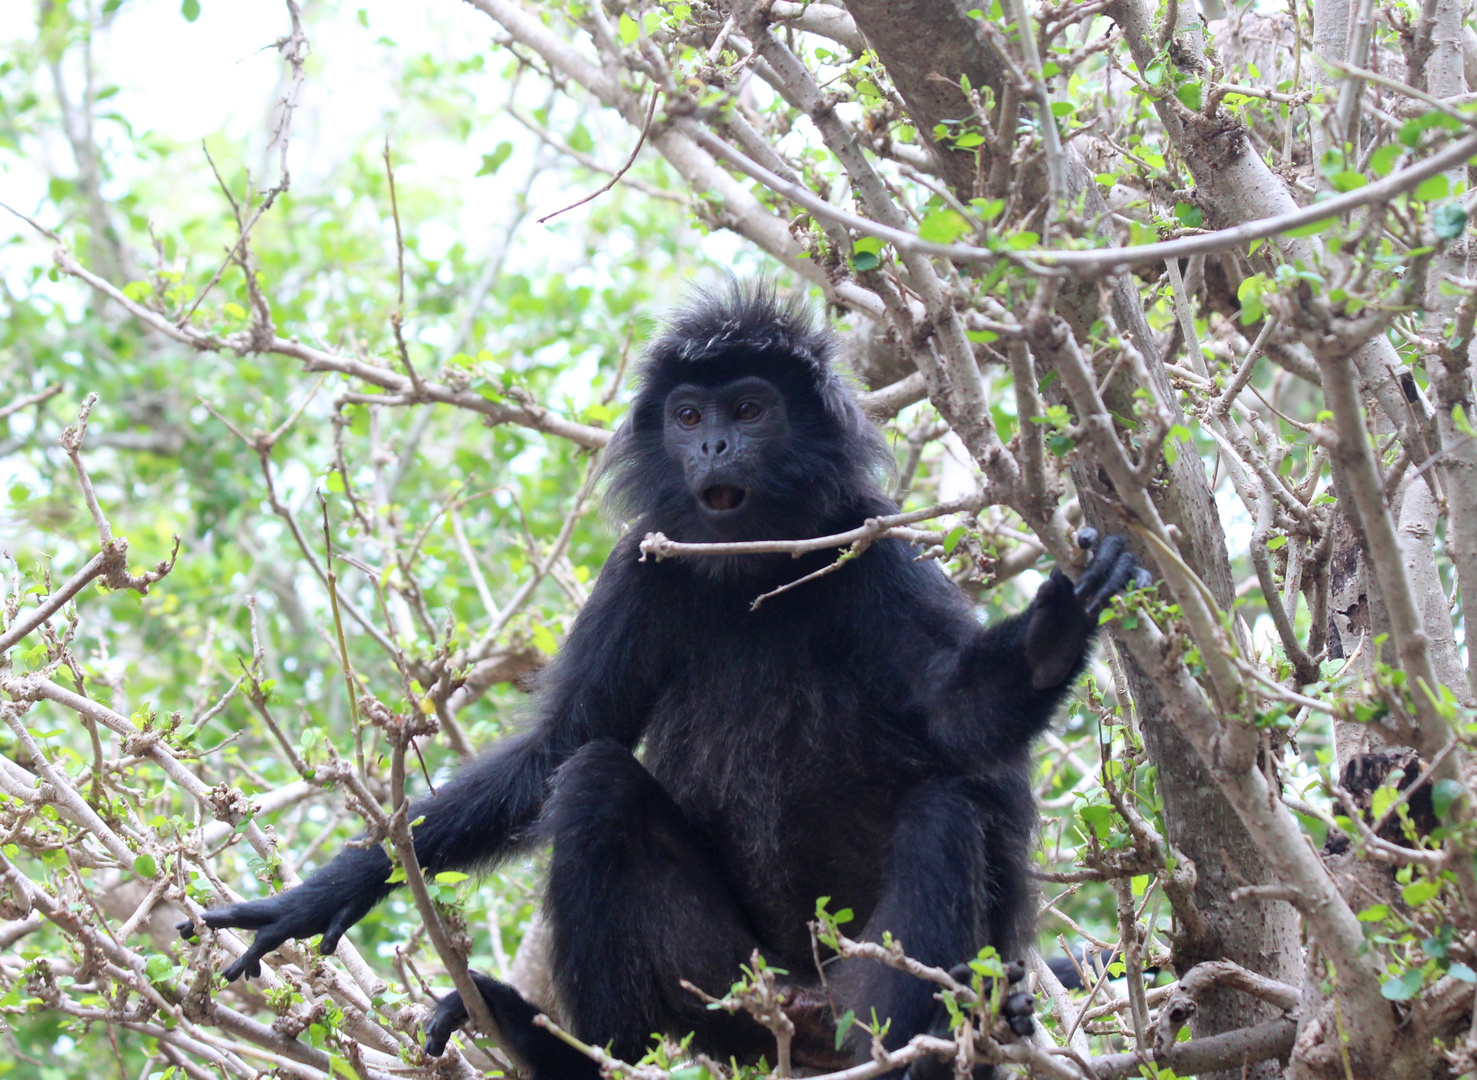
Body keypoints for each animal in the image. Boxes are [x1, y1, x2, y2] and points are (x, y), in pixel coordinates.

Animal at [178, 286, 1146, 1080]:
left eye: (749, 409)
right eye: (687, 415)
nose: (713, 442)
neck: (753, 578)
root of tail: (801, 1015)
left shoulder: (872, 551)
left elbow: (960, 722)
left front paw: (1059, 625)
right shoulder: (640, 571)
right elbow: (559, 747)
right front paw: (327, 891)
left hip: (848, 983)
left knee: (946, 811)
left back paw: (906, 1058)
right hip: (726, 992)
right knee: (594, 785)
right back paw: (569, 1054)